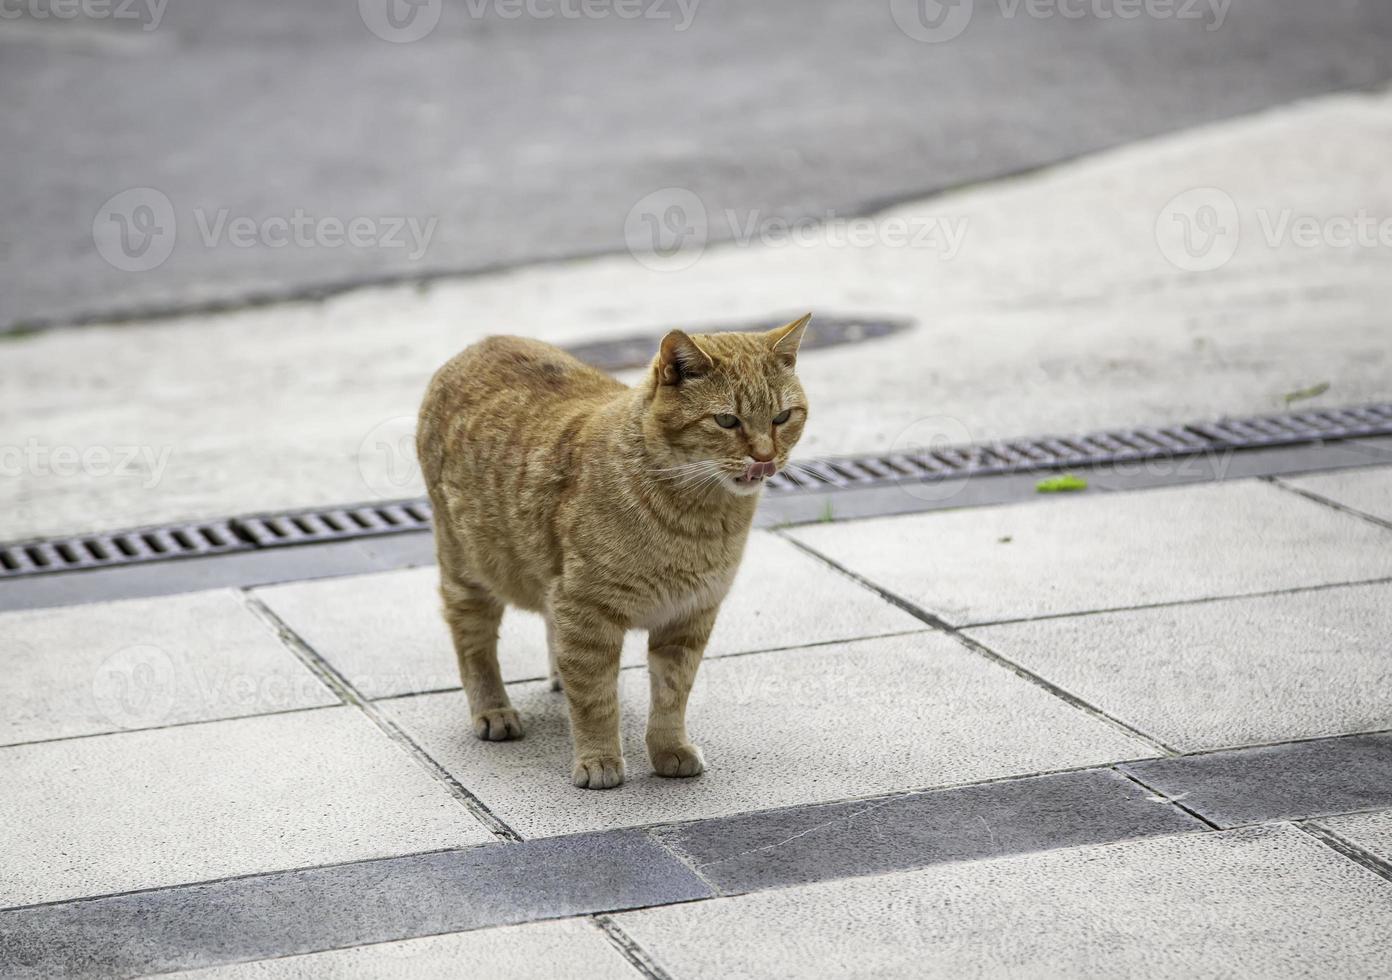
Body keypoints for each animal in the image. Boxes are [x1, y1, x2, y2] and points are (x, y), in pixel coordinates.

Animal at [417, 314, 812, 790]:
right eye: (726, 420)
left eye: (782, 417)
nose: (765, 458)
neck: (697, 520)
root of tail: (484, 343)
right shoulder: (587, 612)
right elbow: (595, 700)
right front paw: (599, 759)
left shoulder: (688, 617)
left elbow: (671, 695)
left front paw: (669, 750)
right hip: (468, 572)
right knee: (473, 645)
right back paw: (493, 710)